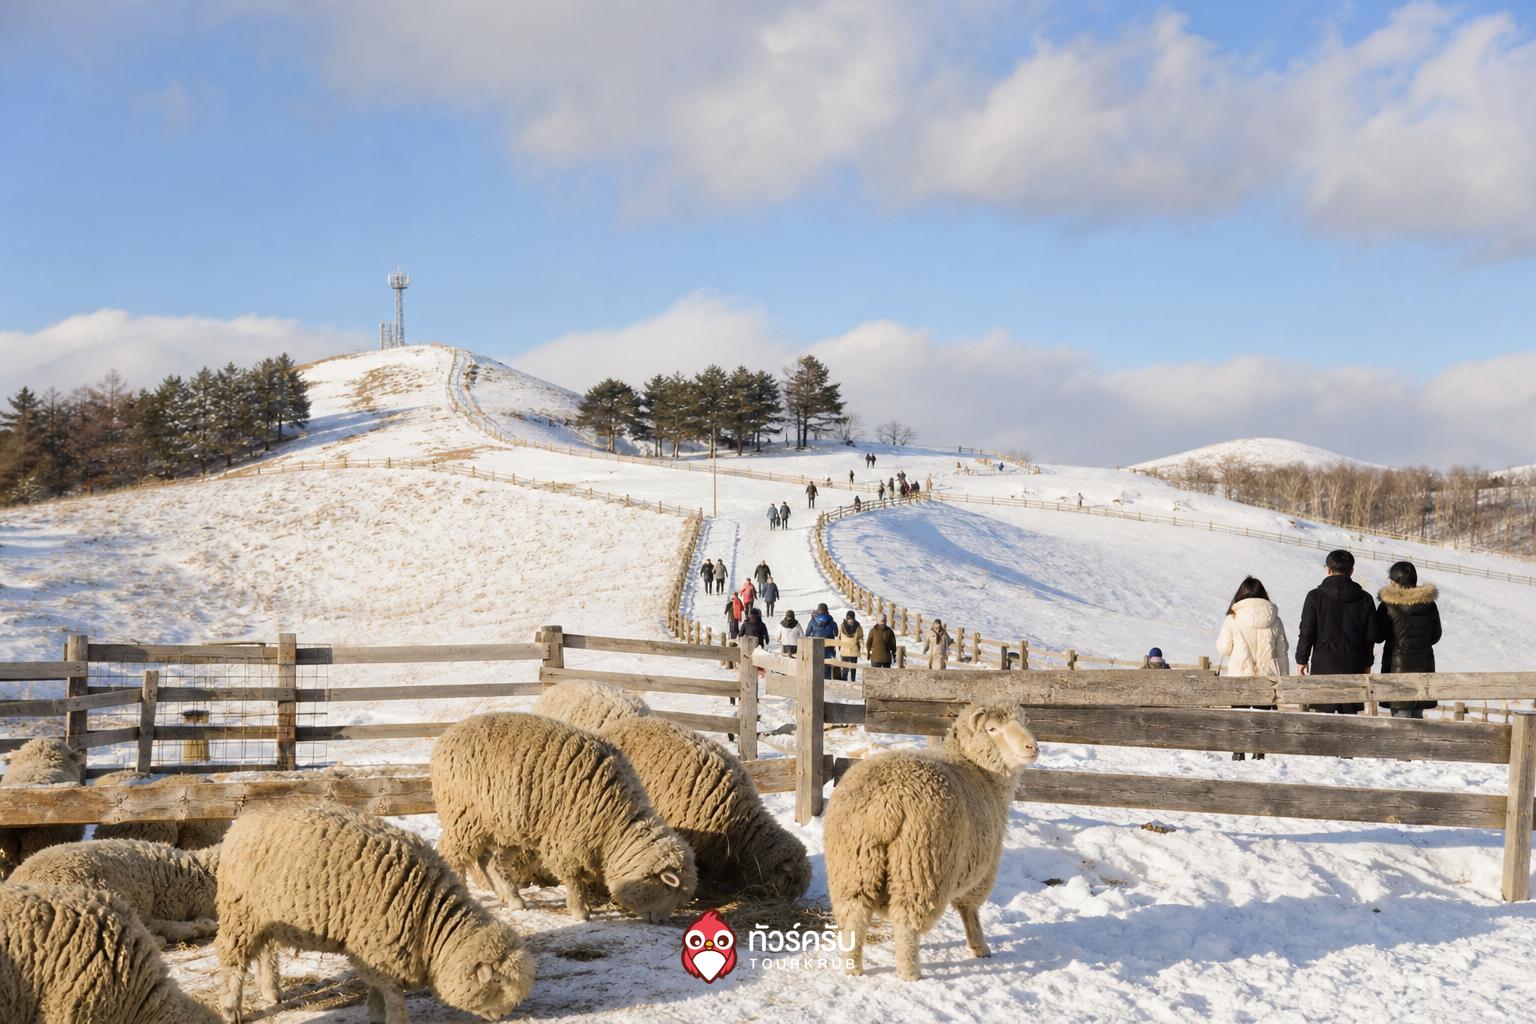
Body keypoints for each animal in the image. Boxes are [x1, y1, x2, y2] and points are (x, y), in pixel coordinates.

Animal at [215, 802, 533, 1024]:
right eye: (497, 981)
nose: (502, 1016)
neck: (429, 917)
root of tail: (241, 823)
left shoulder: (375, 951)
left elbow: (377, 989)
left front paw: (376, 1014)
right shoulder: (379, 947)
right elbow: (391, 994)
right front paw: (393, 1018)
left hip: (263, 916)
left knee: (265, 952)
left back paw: (270, 992)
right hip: (239, 913)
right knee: (234, 962)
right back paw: (231, 1009)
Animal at [432, 712, 697, 923]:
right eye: (668, 890)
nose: (661, 921)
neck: (615, 826)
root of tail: (446, 736)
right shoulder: (565, 843)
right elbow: (574, 880)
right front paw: (581, 913)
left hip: (504, 824)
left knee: (493, 862)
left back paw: (514, 900)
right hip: (464, 816)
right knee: (452, 855)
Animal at [824, 703, 1039, 981]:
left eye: (1022, 721)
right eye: (993, 729)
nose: (1033, 746)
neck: (980, 772)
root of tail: (884, 803)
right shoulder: (981, 870)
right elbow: (970, 910)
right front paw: (979, 946)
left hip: (854, 864)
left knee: (854, 916)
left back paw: (852, 968)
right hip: (921, 866)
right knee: (907, 922)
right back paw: (910, 972)